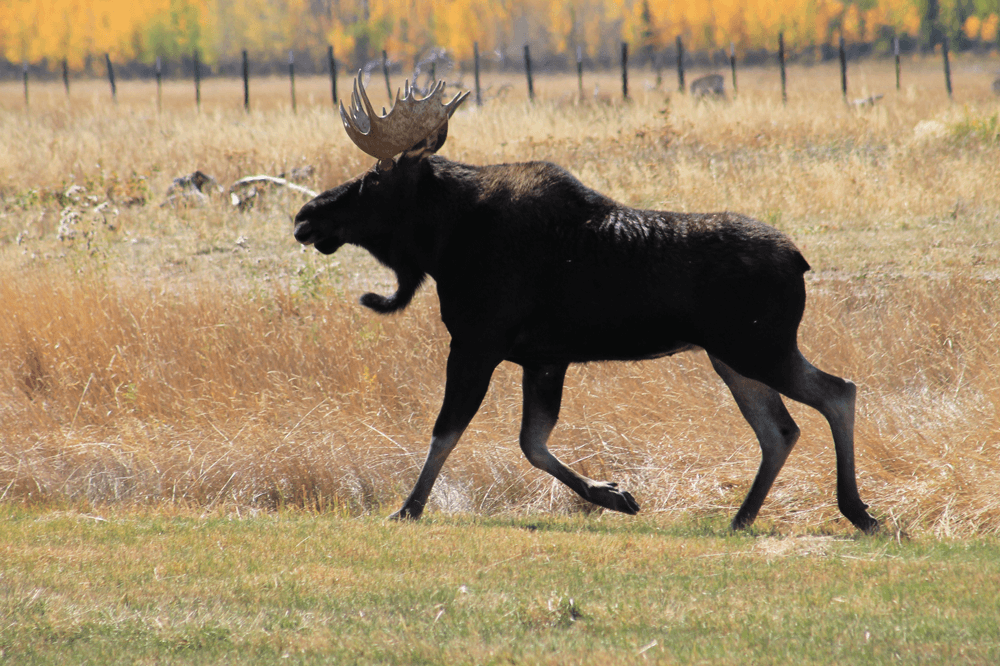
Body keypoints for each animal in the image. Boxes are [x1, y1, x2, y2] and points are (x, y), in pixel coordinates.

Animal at [292, 74, 879, 533]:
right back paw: (743, 516)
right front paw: (613, 494)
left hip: (758, 346)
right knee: (780, 429)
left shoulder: (478, 342)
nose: (305, 216)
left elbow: (447, 431)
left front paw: (408, 508)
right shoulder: (544, 358)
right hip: (731, 356)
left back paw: (856, 510)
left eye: (373, 178)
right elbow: (531, 441)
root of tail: (800, 260)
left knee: (838, 392)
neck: (444, 248)